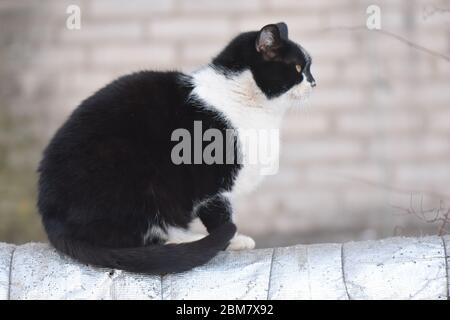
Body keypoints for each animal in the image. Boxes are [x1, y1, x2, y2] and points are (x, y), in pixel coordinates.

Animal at [37, 22, 314, 274]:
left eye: (309, 68)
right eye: (298, 68)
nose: (313, 82)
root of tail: (50, 216)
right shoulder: (211, 180)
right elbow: (220, 215)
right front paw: (235, 240)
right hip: (134, 176)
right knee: (135, 238)